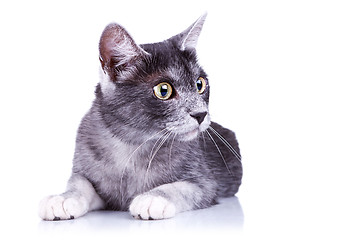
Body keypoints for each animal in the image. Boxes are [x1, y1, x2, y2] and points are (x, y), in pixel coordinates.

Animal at [38, 14, 242, 221]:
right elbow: (79, 183)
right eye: (163, 90)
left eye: (200, 84)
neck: (133, 144)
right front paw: (63, 198)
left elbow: (182, 187)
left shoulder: (205, 182)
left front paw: (154, 198)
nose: (200, 114)